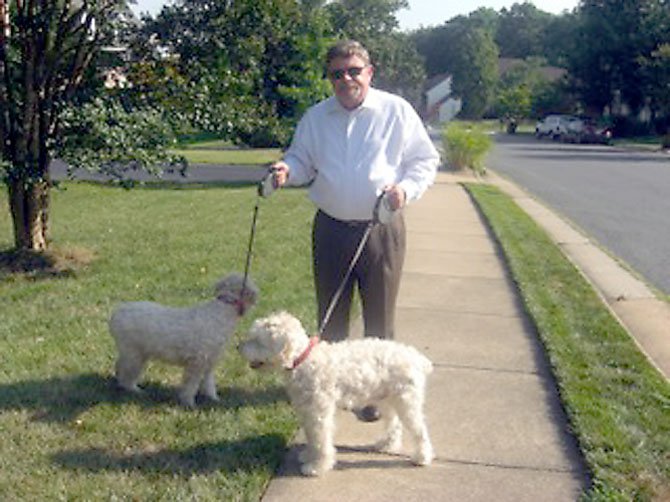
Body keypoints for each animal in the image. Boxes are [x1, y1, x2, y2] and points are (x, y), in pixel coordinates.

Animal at [109, 272, 258, 406]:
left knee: (120, 366)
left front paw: (213, 398)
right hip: (134, 354)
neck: (222, 311)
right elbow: (190, 385)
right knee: (127, 375)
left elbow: (209, 382)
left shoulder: (210, 361)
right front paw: (188, 403)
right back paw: (133, 390)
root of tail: (116, 313)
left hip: (136, 353)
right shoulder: (197, 362)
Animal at [240, 310, 436, 474]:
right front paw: (308, 456)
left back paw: (422, 457)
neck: (303, 360)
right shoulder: (307, 411)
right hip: (386, 400)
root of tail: (417, 358)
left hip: (407, 401)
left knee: (419, 430)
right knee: (394, 424)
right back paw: (386, 445)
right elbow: (312, 437)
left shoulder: (319, 413)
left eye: (257, 339)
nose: (238, 347)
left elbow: (321, 440)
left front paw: (317, 466)